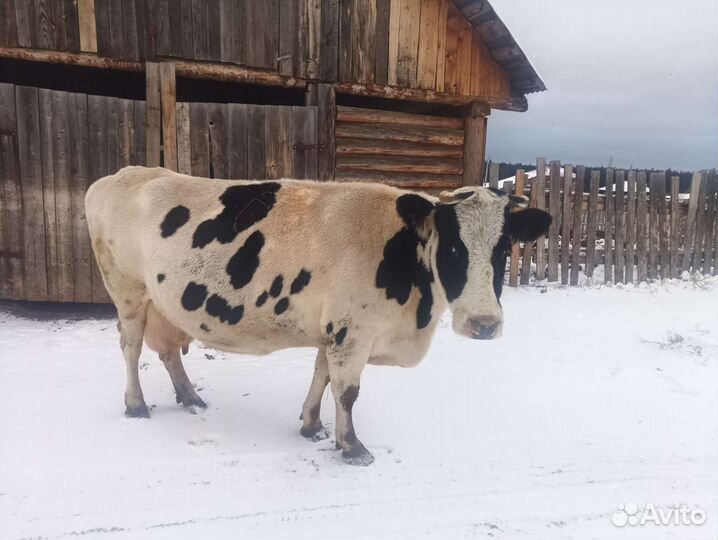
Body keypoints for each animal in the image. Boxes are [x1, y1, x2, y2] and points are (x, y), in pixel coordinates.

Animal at [87, 167, 556, 466]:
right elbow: (347, 392)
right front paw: (351, 447)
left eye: (504, 247)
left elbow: (321, 376)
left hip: (163, 303)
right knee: (131, 347)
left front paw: (311, 425)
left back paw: (189, 396)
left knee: (168, 350)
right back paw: (136, 405)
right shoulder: (352, 332)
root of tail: (120, 175)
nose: (484, 324)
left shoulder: (333, 330)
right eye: (454, 247)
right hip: (126, 289)